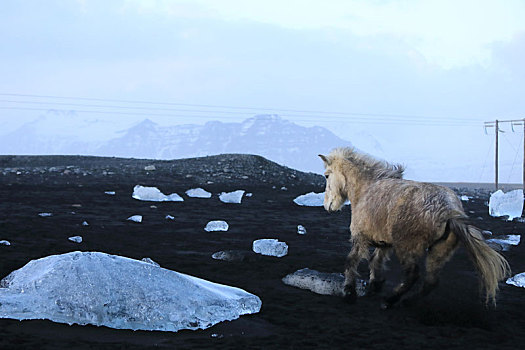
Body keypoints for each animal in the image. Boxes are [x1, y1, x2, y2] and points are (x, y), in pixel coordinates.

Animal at [318, 146, 510, 308]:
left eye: (326, 175)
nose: (327, 206)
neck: (367, 188)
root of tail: (448, 211)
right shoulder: (384, 243)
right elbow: (375, 261)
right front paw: (374, 286)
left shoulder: (361, 238)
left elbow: (351, 261)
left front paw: (349, 293)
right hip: (438, 251)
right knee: (430, 281)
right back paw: (407, 301)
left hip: (408, 248)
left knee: (413, 275)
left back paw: (389, 301)